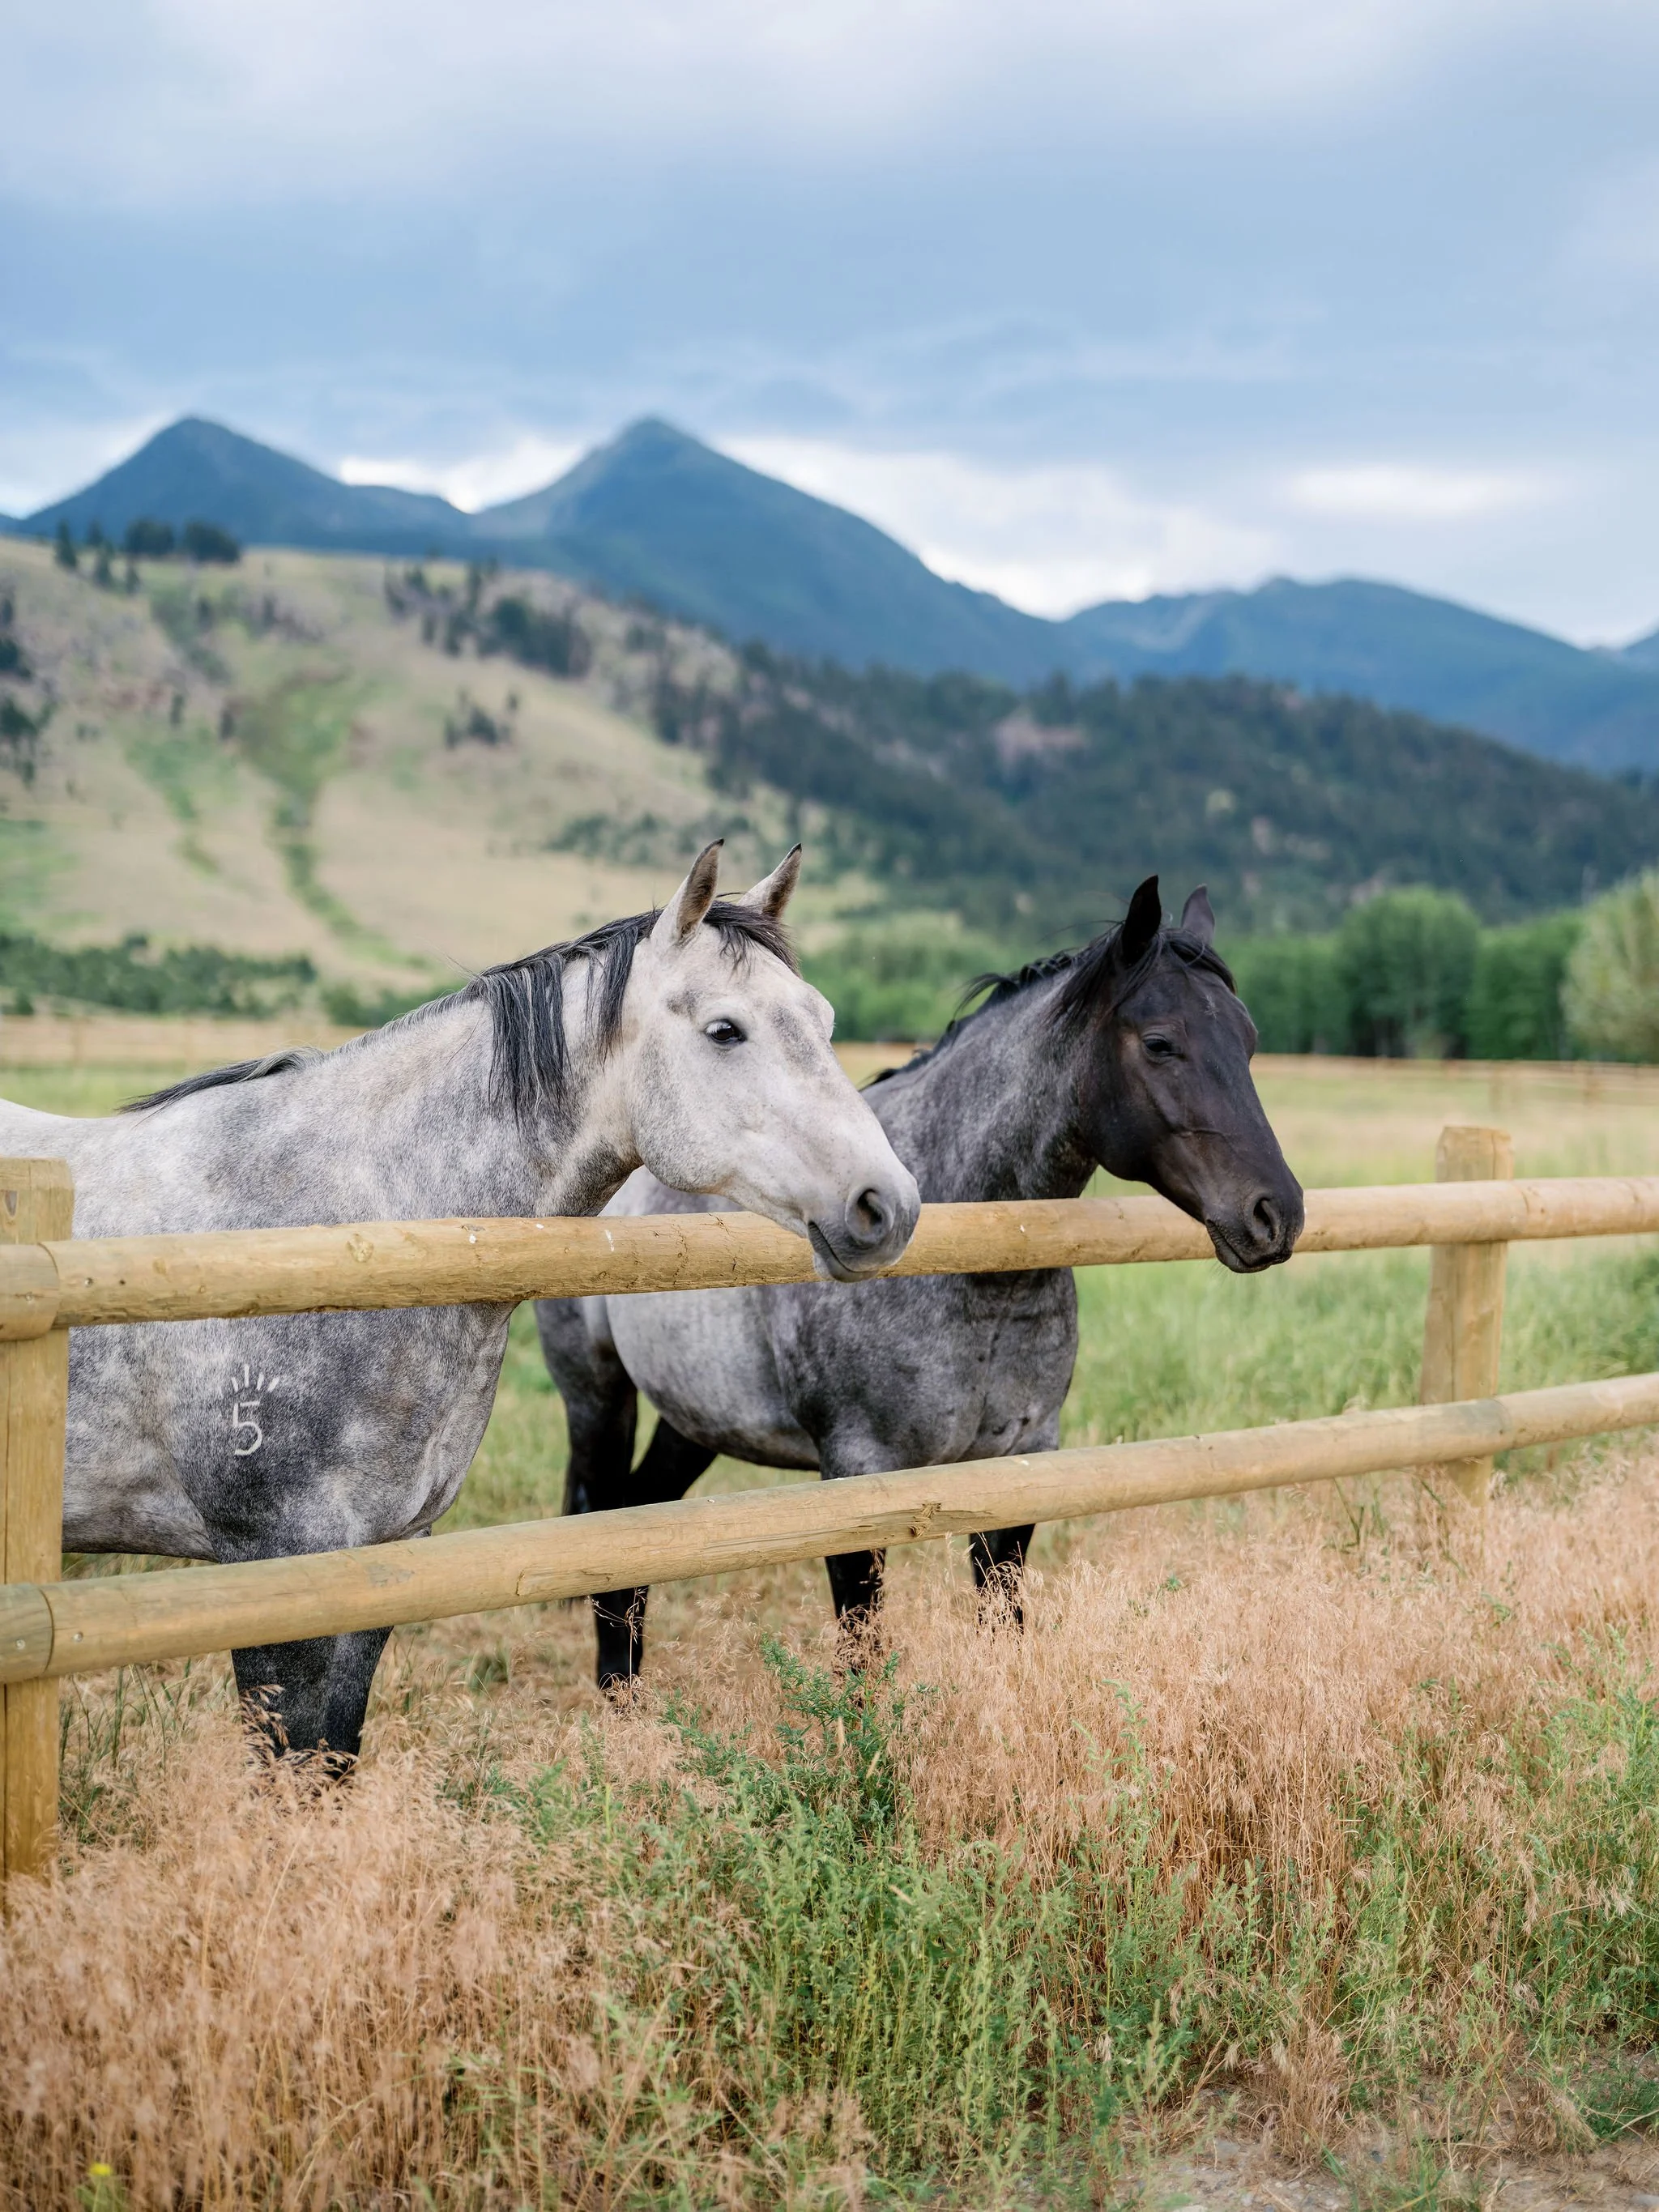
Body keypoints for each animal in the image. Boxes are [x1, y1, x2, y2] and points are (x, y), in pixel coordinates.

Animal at [0, 842, 920, 1761]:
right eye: (725, 1030)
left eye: (823, 1018)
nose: (889, 1205)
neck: (347, 1240)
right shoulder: (270, 1570)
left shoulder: (385, 1558)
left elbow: (332, 1755)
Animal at [538, 876, 1304, 1688]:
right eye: (1161, 1042)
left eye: (1249, 1039)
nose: (1276, 1213)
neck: (975, 1269)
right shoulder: (855, 1476)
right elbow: (863, 1651)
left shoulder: (1019, 1464)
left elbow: (1003, 1619)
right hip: (598, 1397)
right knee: (607, 1526)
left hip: (693, 1417)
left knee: (644, 1516)